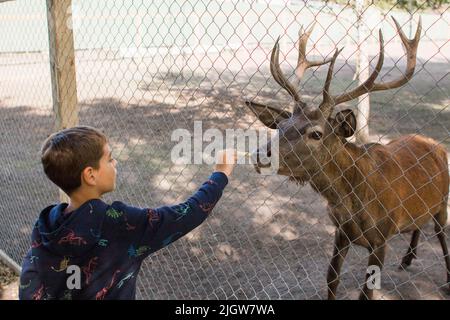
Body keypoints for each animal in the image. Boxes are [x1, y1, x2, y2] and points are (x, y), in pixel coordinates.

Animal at [246, 18, 450, 300]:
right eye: (282, 125)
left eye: (316, 133)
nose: (260, 155)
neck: (354, 202)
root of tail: (435, 144)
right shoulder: (340, 233)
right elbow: (332, 279)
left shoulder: (381, 237)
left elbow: (367, 293)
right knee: (419, 224)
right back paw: (407, 259)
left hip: (443, 201)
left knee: (442, 235)